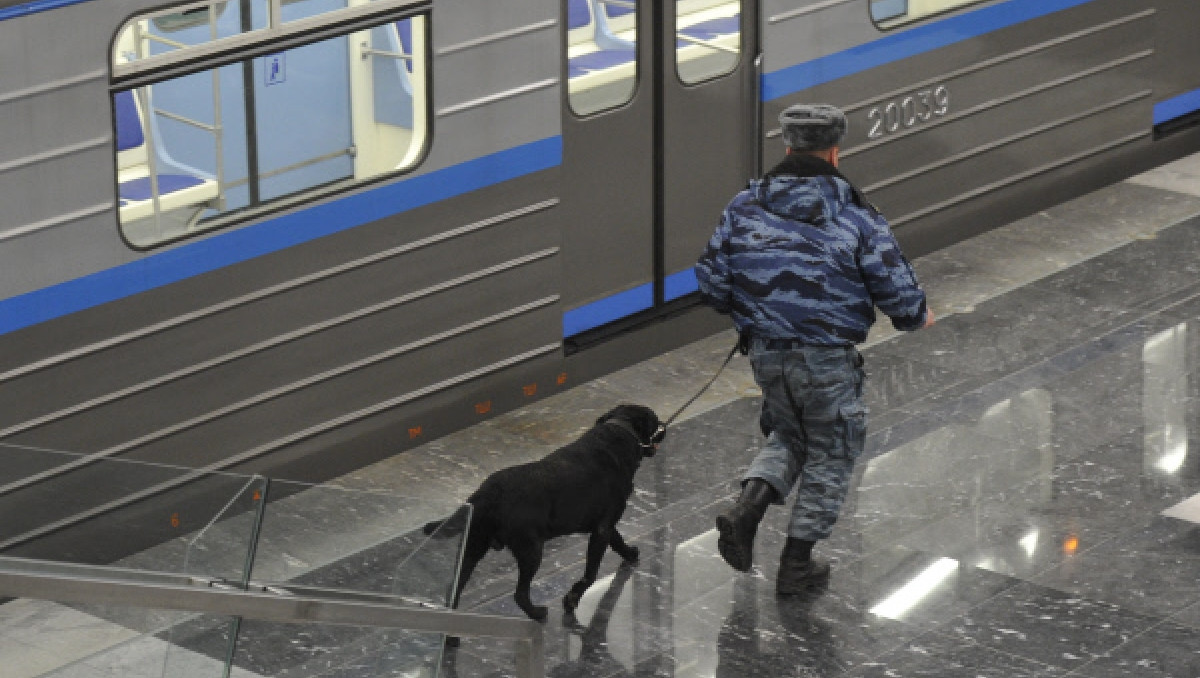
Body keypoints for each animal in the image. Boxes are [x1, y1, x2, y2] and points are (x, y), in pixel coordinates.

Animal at [424, 405, 667, 619]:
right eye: (655, 421)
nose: (665, 426)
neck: (619, 431)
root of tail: (485, 494)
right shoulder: (601, 530)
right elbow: (591, 573)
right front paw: (572, 598)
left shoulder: (605, 525)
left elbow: (618, 541)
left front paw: (630, 553)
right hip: (531, 550)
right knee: (520, 594)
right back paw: (537, 614)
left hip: (473, 549)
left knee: (454, 591)